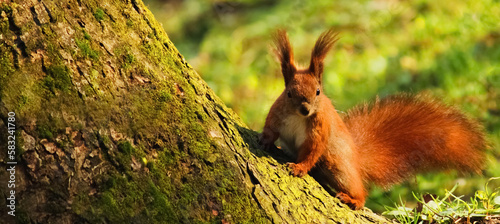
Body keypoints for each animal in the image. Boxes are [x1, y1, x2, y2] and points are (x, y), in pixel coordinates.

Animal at [260, 29, 486, 210]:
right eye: (289, 93)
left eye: (318, 92)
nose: (305, 109)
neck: (297, 117)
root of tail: (356, 160)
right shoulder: (277, 114)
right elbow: (271, 129)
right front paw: (265, 140)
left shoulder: (320, 127)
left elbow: (313, 149)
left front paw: (299, 167)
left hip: (338, 167)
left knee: (359, 190)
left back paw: (354, 200)